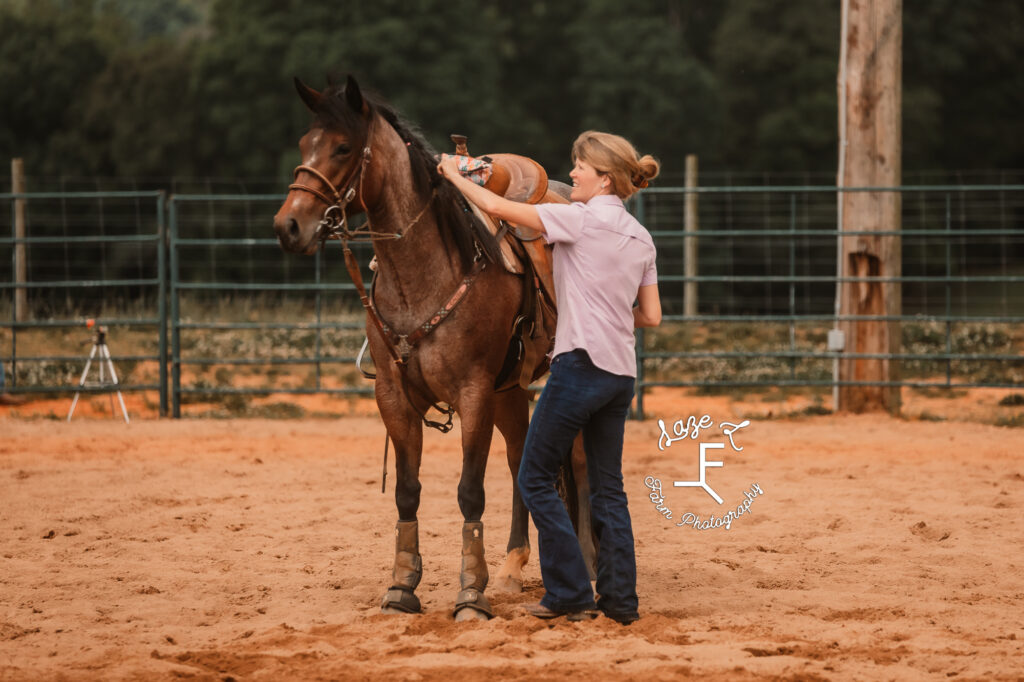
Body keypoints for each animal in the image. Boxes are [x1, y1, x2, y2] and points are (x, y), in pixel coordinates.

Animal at [272, 73, 581, 614]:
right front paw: (402, 586)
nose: (289, 225)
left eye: (343, 147)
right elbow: (408, 491)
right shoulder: (394, 398)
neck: (426, 277)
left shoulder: (474, 394)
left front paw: (471, 592)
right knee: (519, 459)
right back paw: (511, 567)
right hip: (509, 390)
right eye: (305, 144)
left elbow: (470, 491)